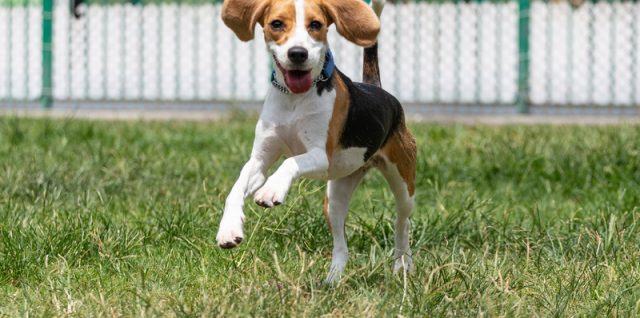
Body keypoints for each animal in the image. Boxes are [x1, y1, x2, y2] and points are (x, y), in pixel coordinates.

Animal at [215, 0, 418, 284]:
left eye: (316, 25)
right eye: (276, 24)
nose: (297, 53)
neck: (294, 98)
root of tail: (378, 89)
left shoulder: (321, 157)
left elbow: (290, 161)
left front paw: (271, 190)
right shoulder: (259, 160)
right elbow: (236, 189)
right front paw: (229, 229)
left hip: (403, 180)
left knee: (403, 222)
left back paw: (401, 265)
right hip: (335, 198)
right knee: (341, 245)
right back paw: (333, 280)